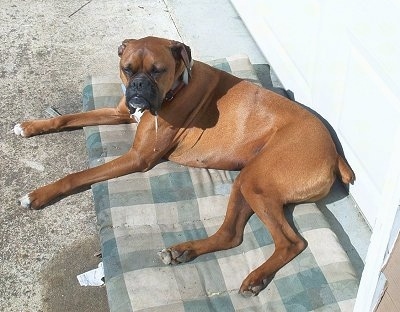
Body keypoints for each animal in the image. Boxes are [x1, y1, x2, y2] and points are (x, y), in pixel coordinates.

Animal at [14, 36, 354, 294]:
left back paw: (256, 278)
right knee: (231, 235)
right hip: (247, 181)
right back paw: (185, 250)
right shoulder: (121, 112)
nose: (138, 85)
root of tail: (334, 151)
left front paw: (38, 195)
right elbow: (68, 117)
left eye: (158, 71)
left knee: (291, 242)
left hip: (256, 181)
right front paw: (29, 126)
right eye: (127, 70)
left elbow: (78, 175)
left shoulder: (138, 157)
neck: (176, 88)